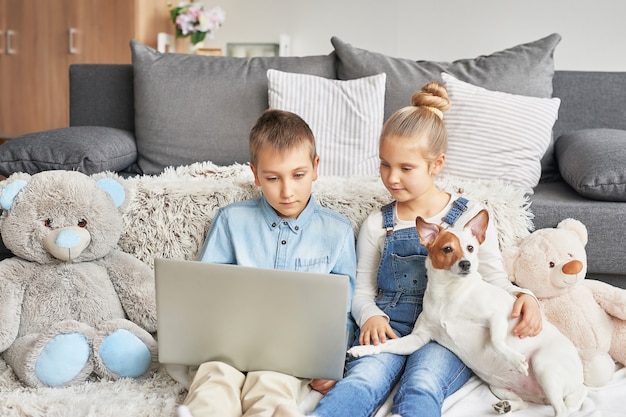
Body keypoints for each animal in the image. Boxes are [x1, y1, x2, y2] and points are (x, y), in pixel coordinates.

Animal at [346, 211, 584, 416]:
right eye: (447, 249)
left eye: (470, 248)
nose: (466, 264)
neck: (448, 293)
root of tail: (579, 384)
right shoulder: (416, 339)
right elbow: (386, 345)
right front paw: (361, 349)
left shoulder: (496, 315)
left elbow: (497, 342)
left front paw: (515, 359)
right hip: (499, 387)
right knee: (526, 403)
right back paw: (506, 406)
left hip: (544, 366)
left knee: (562, 411)